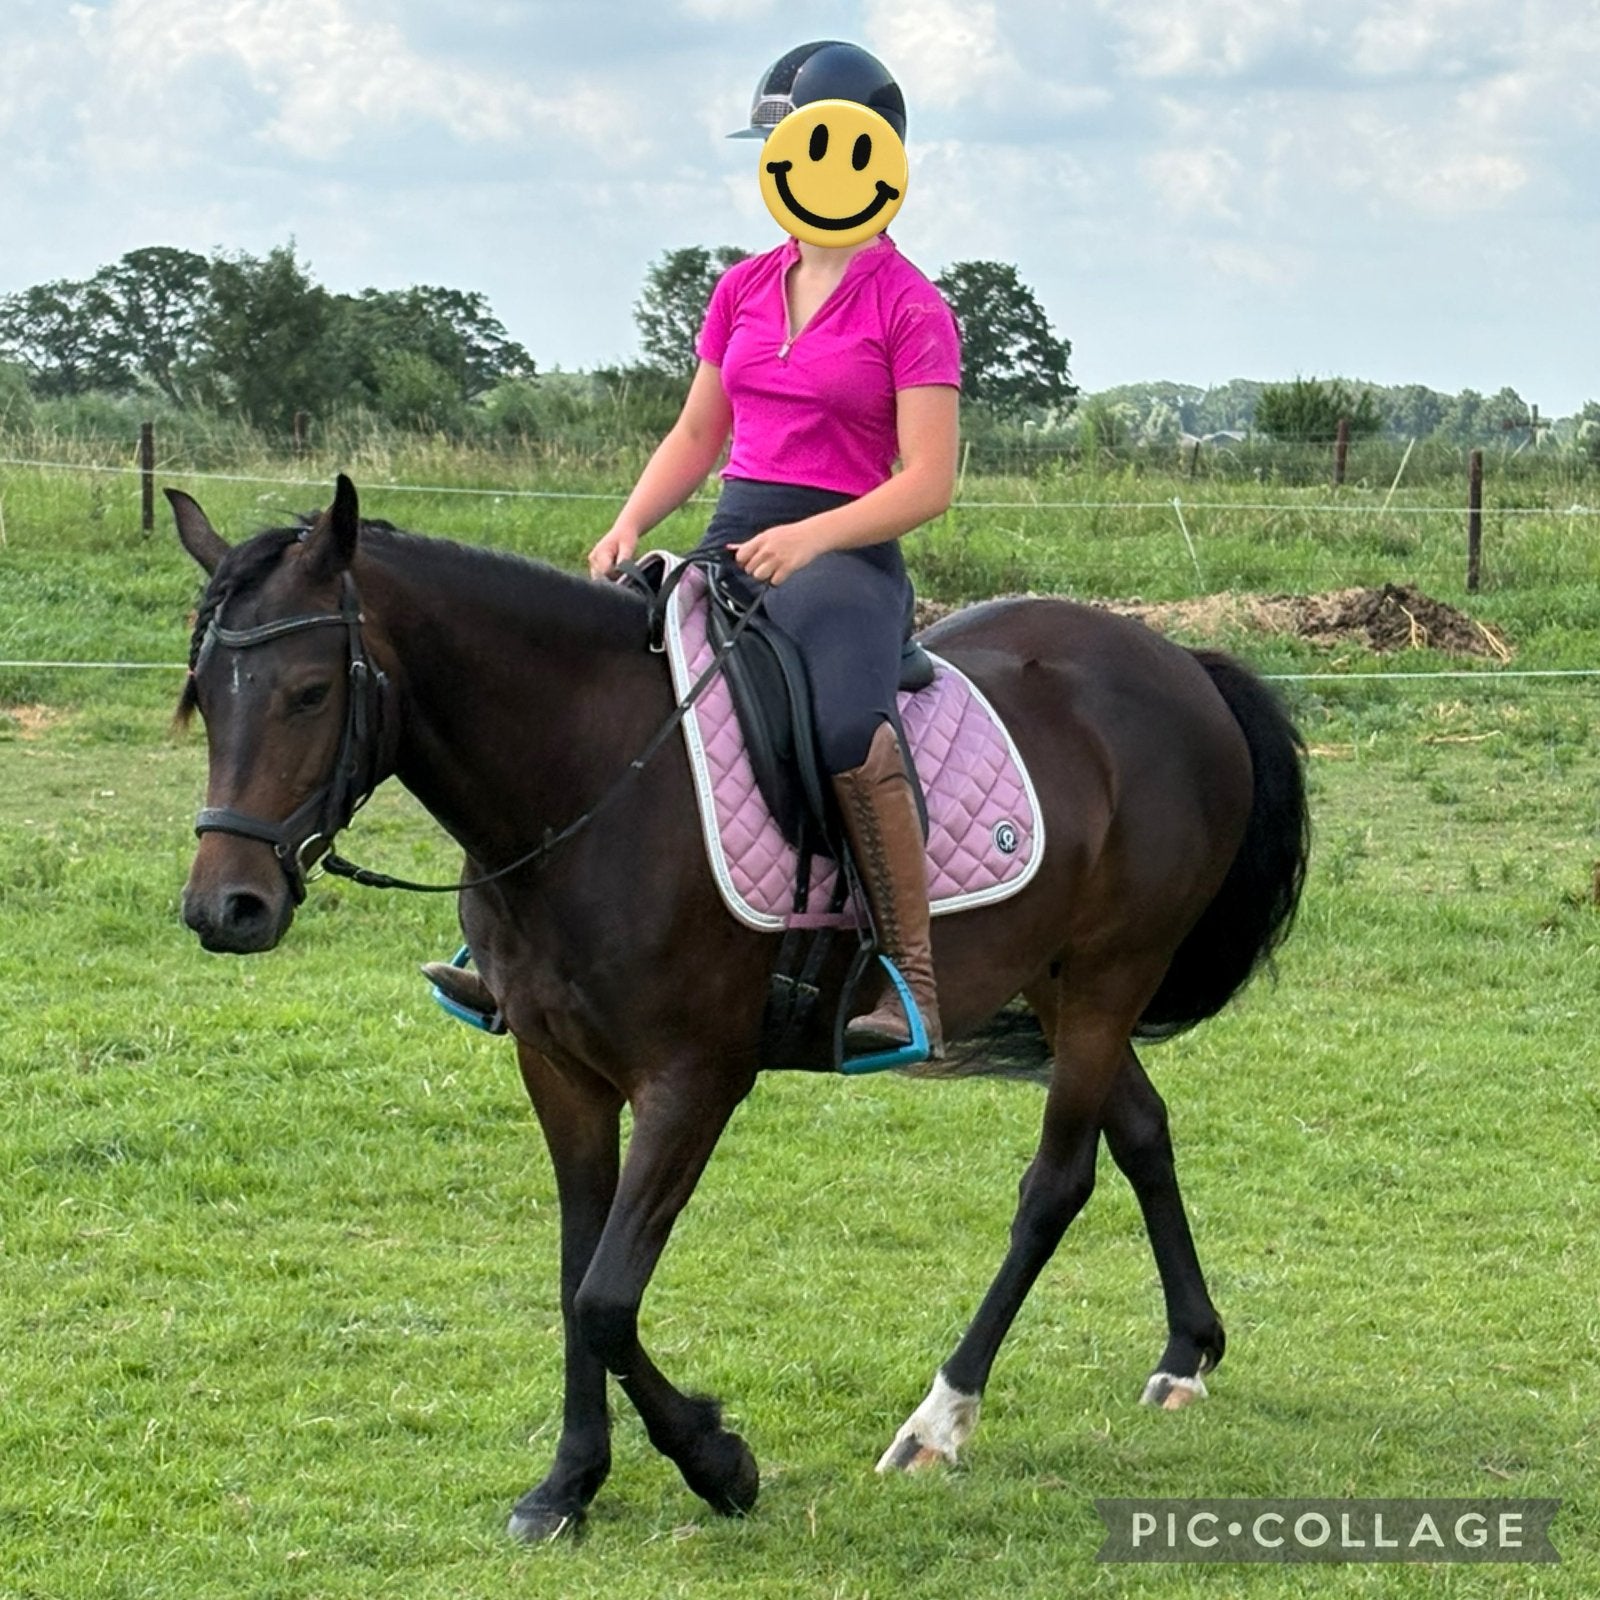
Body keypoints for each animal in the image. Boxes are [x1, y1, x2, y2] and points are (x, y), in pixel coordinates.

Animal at [169, 474, 1308, 1540]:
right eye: (204, 697)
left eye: (310, 691)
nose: (227, 908)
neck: (595, 781)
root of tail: (1177, 663)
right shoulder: (558, 1069)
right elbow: (576, 1275)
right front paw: (569, 1483)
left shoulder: (693, 1080)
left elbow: (607, 1298)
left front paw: (718, 1463)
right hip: (1059, 978)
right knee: (1143, 1128)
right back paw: (1186, 1352)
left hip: (1112, 971)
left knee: (1057, 1182)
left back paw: (940, 1420)